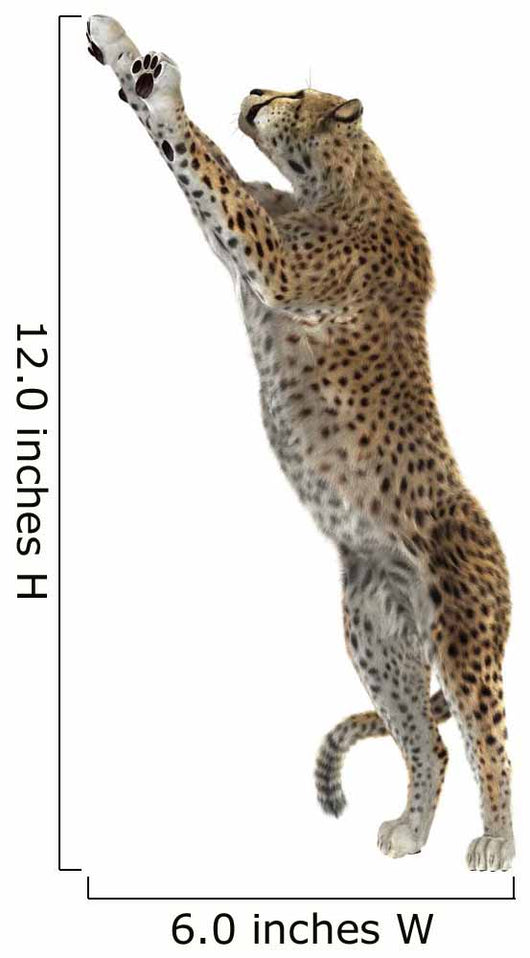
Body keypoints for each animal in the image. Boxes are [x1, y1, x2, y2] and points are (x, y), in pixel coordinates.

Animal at [87, 15, 515, 871]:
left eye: (296, 90)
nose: (257, 88)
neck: (330, 174)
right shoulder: (241, 240)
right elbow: (188, 157)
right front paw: (121, 54)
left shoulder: (272, 261)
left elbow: (202, 155)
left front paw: (160, 82)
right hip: (376, 636)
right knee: (427, 741)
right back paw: (411, 831)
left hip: (462, 640)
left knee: (488, 743)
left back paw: (495, 844)